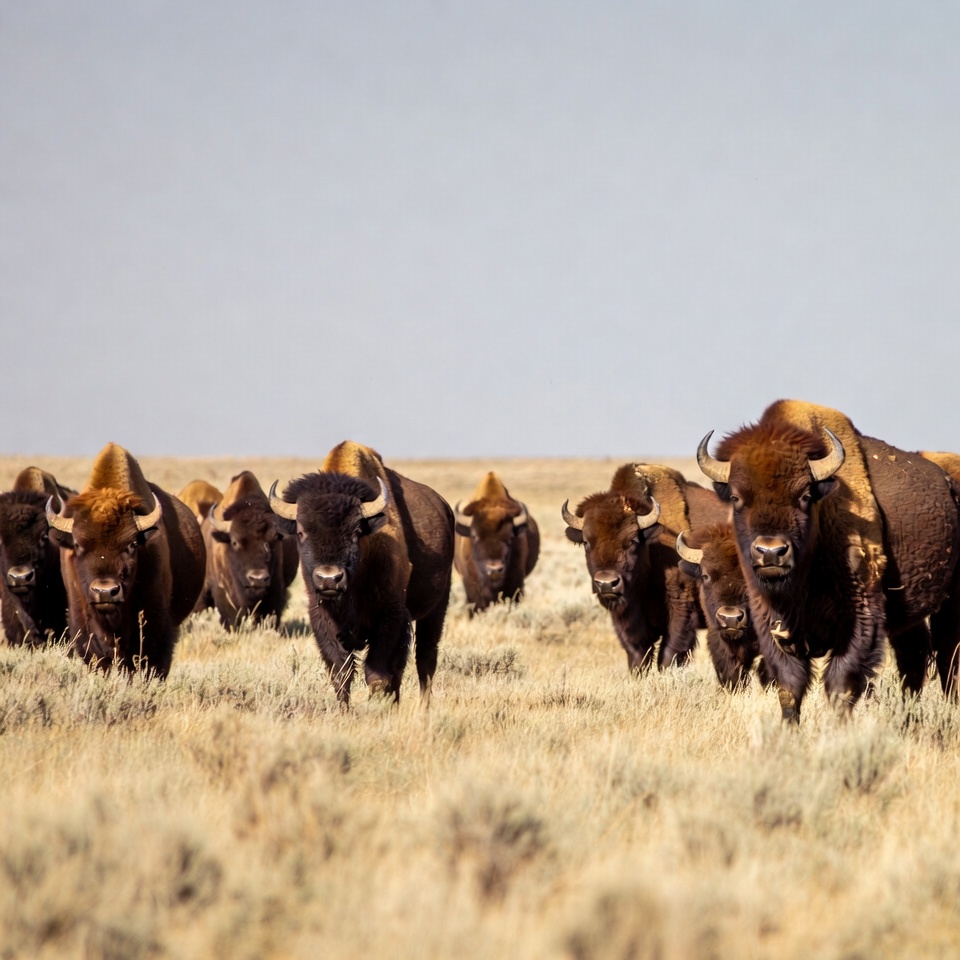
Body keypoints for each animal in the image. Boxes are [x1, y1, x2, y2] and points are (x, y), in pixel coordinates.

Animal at [270, 441, 454, 706]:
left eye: (356, 531)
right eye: (301, 531)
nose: (329, 578)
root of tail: (444, 508)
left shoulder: (390, 616)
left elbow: (378, 675)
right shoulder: (323, 620)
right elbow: (342, 675)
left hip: (436, 609)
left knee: (425, 660)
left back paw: (423, 708)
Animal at [562, 463, 728, 673]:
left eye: (633, 541)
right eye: (586, 542)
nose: (607, 583)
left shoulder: (680, 610)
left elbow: (669, 652)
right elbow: (638, 655)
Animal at [698, 399, 960, 722]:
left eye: (805, 495)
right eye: (736, 497)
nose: (771, 552)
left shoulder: (860, 617)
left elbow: (841, 685)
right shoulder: (772, 625)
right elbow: (789, 686)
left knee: (949, 656)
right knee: (915, 655)